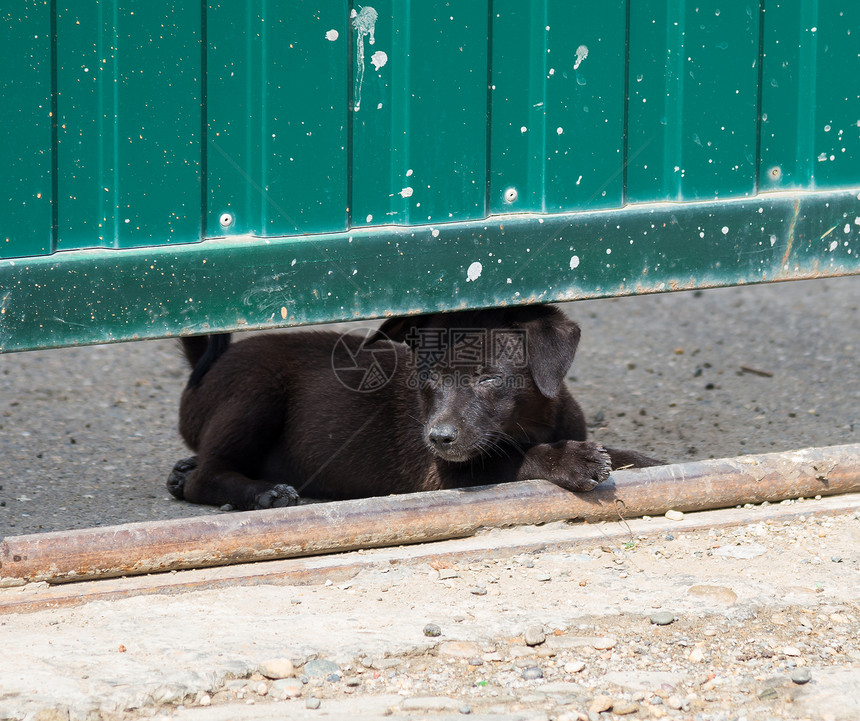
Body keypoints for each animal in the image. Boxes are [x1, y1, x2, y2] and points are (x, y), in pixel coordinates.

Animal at [170, 302, 664, 506]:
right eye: (427, 379)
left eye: (488, 379)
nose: (438, 438)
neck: (534, 423)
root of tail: (206, 368)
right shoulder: (443, 474)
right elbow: (516, 458)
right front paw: (571, 461)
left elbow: (621, 452)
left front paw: (650, 461)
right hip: (256, 391)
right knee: (207, 477)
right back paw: (262, 493)